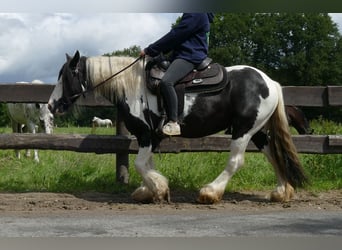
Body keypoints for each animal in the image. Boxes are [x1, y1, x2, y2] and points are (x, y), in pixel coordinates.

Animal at [48, 50, 308, 203]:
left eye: (66, 77)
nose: (52, 105)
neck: (133, 86)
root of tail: (270, 82)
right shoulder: (151, 136)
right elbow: (147, 164)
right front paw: (149, 190)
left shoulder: (146, 134)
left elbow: (140, 164)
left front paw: (159, 188)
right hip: (257, 131)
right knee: (272, 153)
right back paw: (282, 191)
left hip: (243, 130)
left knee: (235, 161)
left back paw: (210, 192)